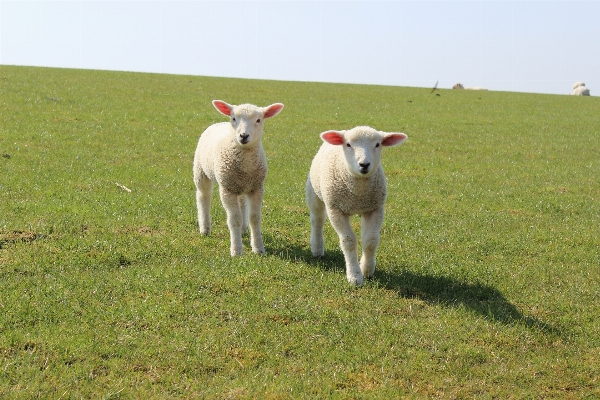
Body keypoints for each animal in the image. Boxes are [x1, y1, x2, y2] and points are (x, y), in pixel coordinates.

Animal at [193, 100, 284, 256]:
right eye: (234, 118)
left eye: (258, 120)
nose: (243, 135)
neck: (246, 163)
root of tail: (219, 122)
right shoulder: (227, 189)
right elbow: (234, 219)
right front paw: (236, 250)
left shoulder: (257, 188)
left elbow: (254, 218)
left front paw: (259, 248)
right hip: (201, 171)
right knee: (203, 197)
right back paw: (205, 228)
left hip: (241, 185)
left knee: (242, 203)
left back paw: (243, 230)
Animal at [304, 126, 408, 286]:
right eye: (348, 144)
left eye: (377, 144)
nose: (364, 164)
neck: (358, 193)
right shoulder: (336, 209)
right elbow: (349, 242)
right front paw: (354, 276)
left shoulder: (374, 209)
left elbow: (371, 241)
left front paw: (367, 270)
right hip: (314, 194)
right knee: (317, 221)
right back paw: (317, 249)